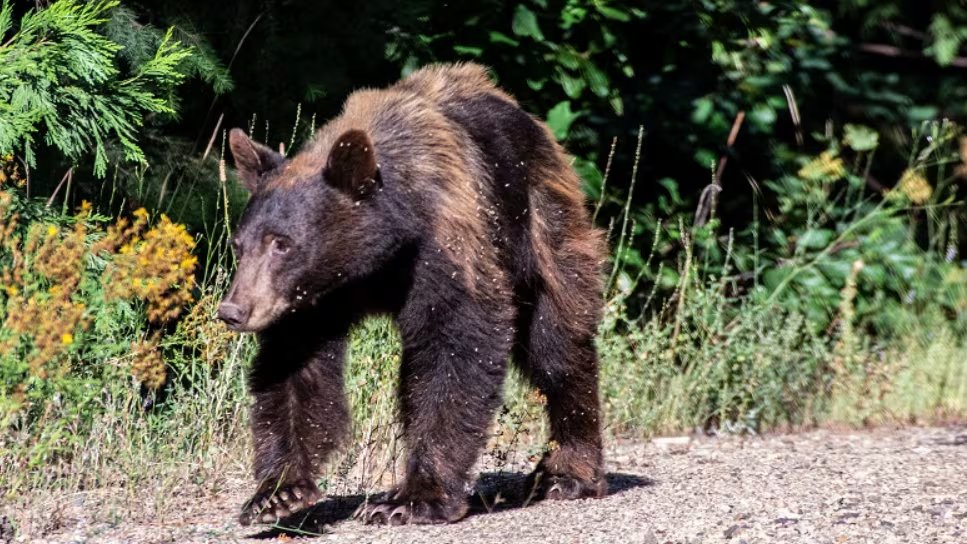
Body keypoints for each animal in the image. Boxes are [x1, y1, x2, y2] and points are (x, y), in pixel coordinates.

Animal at [218, 63, 607, 526]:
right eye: (239, 245)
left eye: (282, 243)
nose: (233, 310)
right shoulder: (313, 298)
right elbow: (296, 368)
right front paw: (277, 492)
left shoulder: (446, 245)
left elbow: (455, 345)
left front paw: (414, 498)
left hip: (543, 224)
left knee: (558, 346)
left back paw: (568, 471)